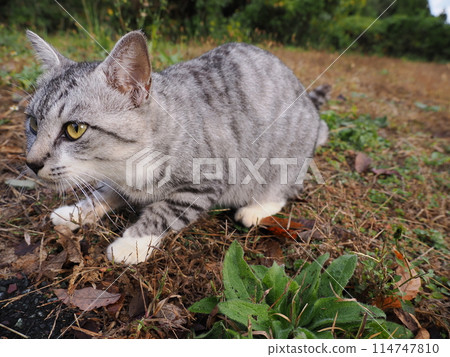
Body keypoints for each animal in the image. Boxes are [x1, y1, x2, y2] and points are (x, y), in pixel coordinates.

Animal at [24, 29, 328, 264]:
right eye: (34, 123)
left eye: (75, 129)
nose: (32, 163)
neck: (126, 163)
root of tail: (309, 105)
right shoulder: (116, 181)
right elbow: (103, 194)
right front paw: (75, 212)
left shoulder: (204, 183)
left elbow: (163, 212)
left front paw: (130, 244)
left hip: (285, 160)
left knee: (284, 189)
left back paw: (255, 208)